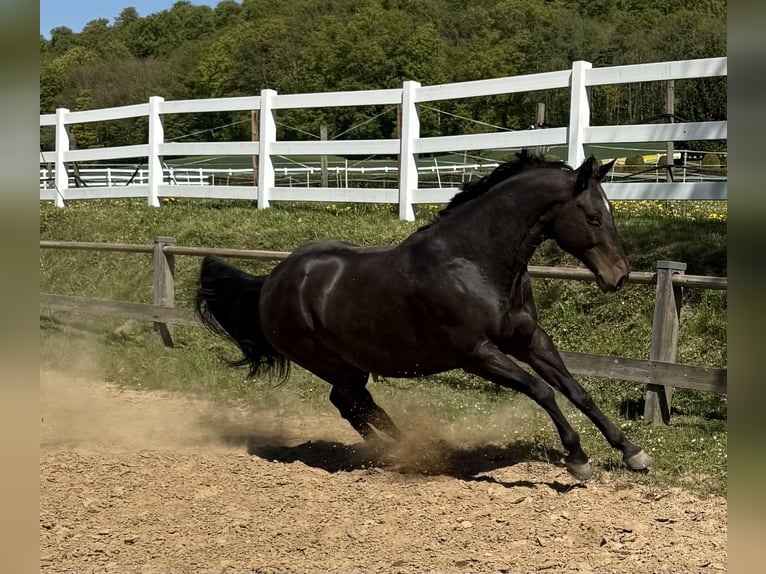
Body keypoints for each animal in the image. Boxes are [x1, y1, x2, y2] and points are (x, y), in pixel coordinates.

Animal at [195, 151, 651, 481]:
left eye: (610, 212)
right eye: (593, 216)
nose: (619, 275)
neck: (473, 263)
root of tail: (270, 282)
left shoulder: (529, 340)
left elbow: (576, 390)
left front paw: (632, 452)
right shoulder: (477, 354)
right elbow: (543, 392)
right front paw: (577, 458)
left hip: (350, 364)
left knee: (353, 405)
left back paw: (408, 449)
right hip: (330, 363)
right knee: (354, 405)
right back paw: (410, 451)